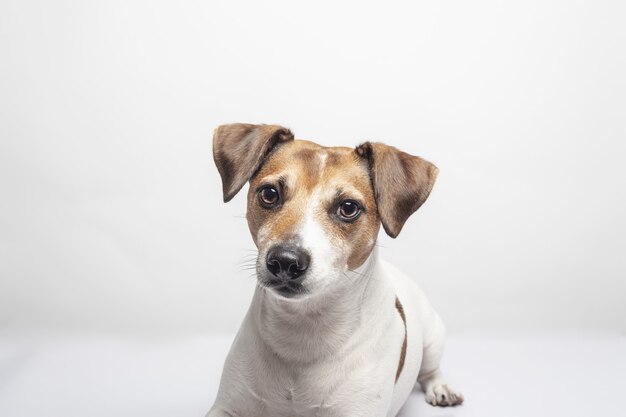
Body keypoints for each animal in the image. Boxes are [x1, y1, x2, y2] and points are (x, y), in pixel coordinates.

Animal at [207, 123, 460, 416]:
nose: (285, 260)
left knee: (431, 369)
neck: (303, 328)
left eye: (348, 207)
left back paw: (441, 389)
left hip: (433, 336)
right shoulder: (227, 406)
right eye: (269, 194)